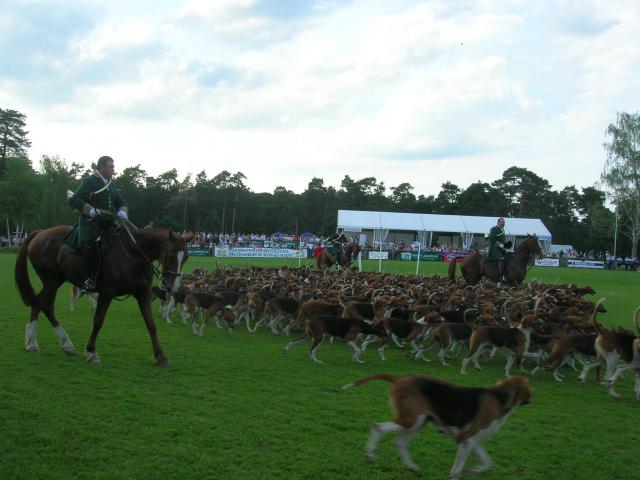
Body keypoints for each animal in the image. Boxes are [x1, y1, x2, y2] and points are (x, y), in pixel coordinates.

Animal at [14, 225, 190, 364]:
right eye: (170, 255)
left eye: (186, 257)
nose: (172, 286)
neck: (133, 254)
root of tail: (40, 232)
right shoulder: (107, 293)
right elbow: (98, 321)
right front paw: (91, 352)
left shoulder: (142, 294)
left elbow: (151, 324)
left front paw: (160, 356)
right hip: (51, 280)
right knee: (43, 304)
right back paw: (46, 342)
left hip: (55, 281)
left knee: (40, 303)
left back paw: (47, 343)